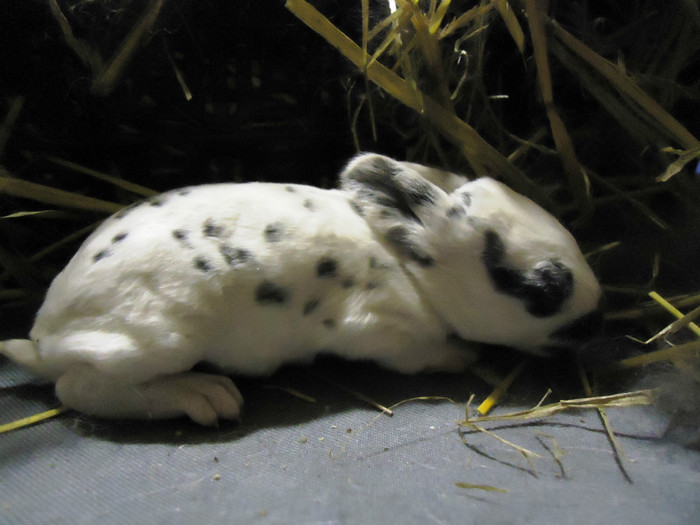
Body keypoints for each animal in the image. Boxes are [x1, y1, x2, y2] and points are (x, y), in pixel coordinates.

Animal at [0, 154, 600, 424]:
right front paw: (465, 355)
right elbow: (426, 354)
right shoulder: (390, 334)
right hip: (161, 339)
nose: (598, 319)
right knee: (80, 389)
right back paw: (206, 397)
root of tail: (45, 336)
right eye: (542, 289)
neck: (410, 268)